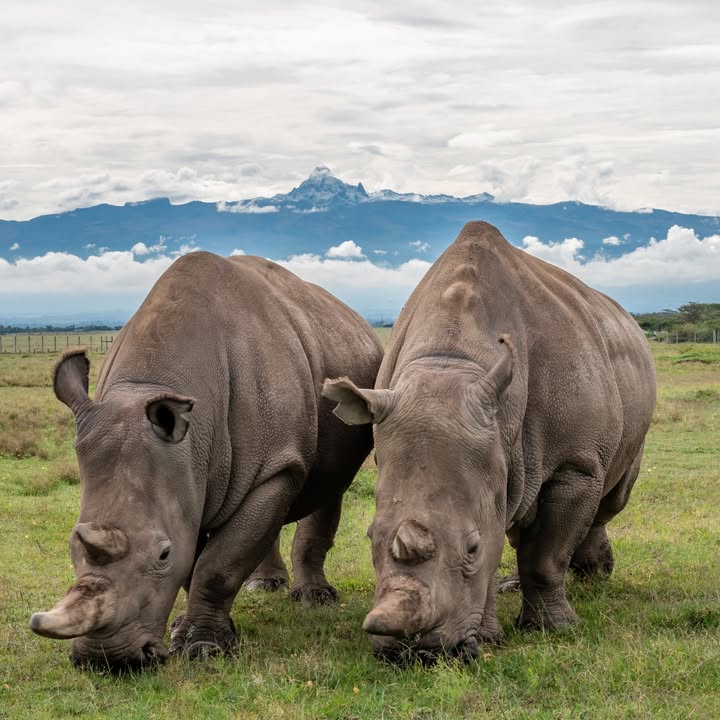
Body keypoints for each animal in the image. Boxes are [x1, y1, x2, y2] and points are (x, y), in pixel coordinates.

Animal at [31, 251, 383, 671]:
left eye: (162, 554)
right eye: (72, 545)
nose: (107, 660)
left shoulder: (273, 466)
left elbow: (217, 564)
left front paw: (203, 649)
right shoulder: (185, 474)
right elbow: (197, 558)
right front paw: (187, 632)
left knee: (328, 487)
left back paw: (314, 600)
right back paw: (264, 587)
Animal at [323, 221, 656, 660]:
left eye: (471, 548)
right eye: (370, 538)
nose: (412, 652)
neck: (451, 362)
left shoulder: (576, 464)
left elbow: (545, 556)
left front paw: (555, 628)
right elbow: (500, 534)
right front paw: (489, 637)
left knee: (611, 499)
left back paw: (593, 576)